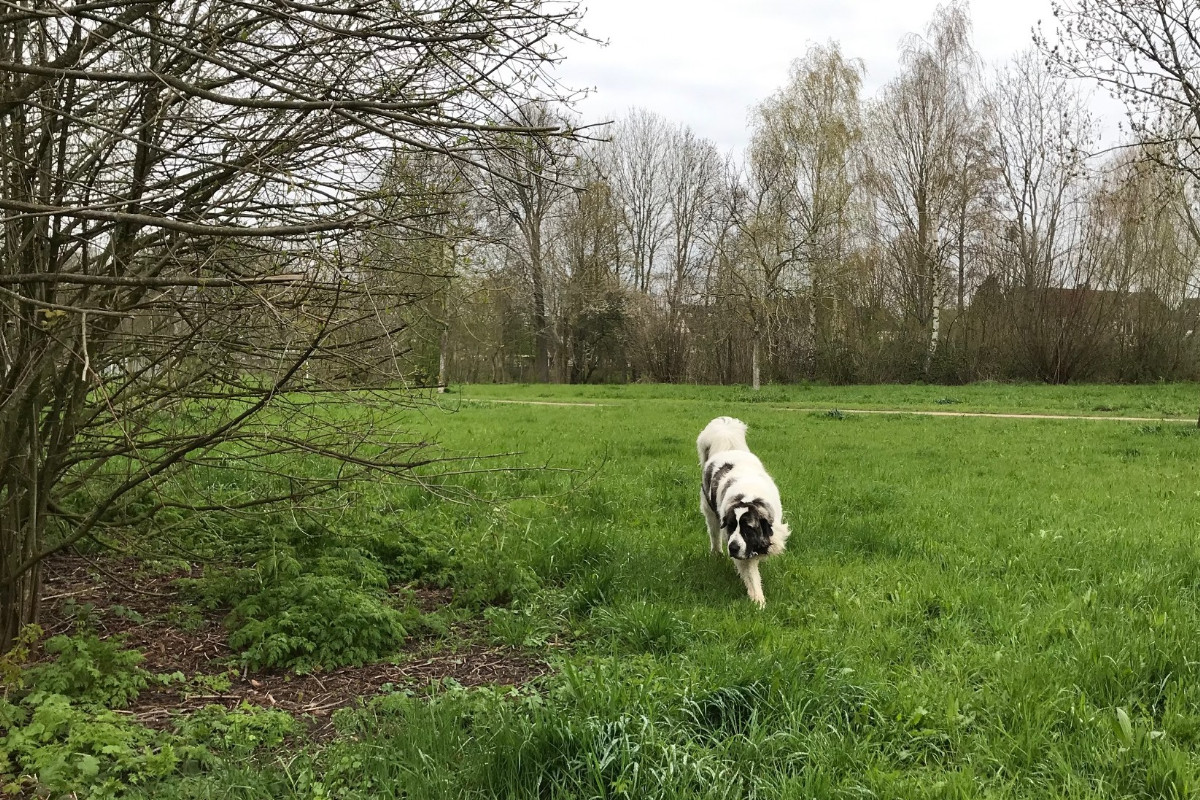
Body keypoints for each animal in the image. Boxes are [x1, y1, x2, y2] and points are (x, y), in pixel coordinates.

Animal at [696, 419, 787, 606]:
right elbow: (751, 574)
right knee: (714, 534)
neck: (747, 497)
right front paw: (758, 600)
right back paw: (716, 553)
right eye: (731, 526)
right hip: (709, 511)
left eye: (748, 528)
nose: (733, 548)